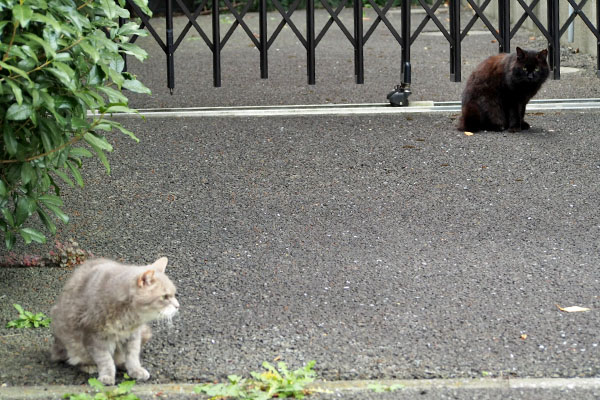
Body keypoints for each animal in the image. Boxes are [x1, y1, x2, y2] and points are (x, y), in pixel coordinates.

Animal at [50, 258, 178, 386]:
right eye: (165, 297)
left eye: (174, 294)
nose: (178, 306)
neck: (128, 317)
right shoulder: (94, 337)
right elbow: (105, 360)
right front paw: (107, 376)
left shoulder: (133, 336)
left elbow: (132, 356)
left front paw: (135, 370)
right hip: (71, 344)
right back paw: (89, 366)